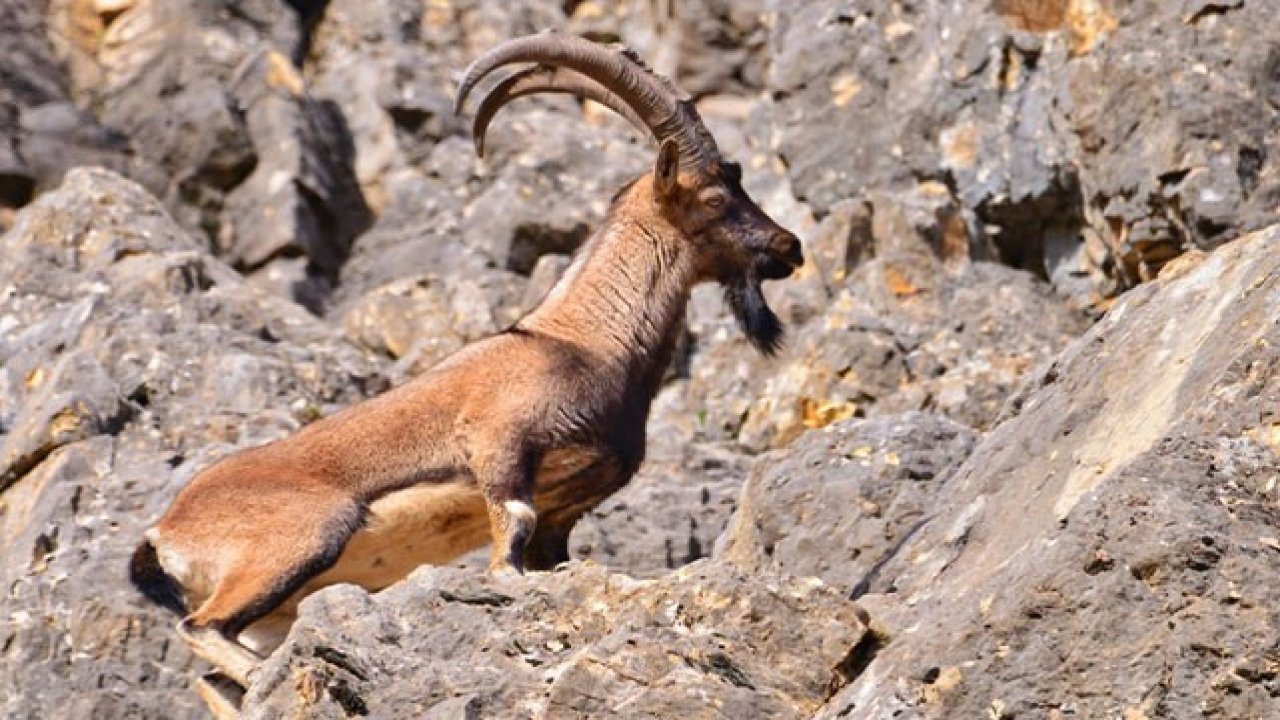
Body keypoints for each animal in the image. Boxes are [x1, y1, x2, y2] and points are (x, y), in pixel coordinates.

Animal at [129, 29, 798, 712]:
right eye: (716, 196)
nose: (788, 247)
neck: (583, 341)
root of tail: (164, 534)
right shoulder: (499, 445)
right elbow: (509, 547)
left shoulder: (564, 513)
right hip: (303, 538)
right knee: (201, 626)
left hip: (274, 606)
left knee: (214, 676)